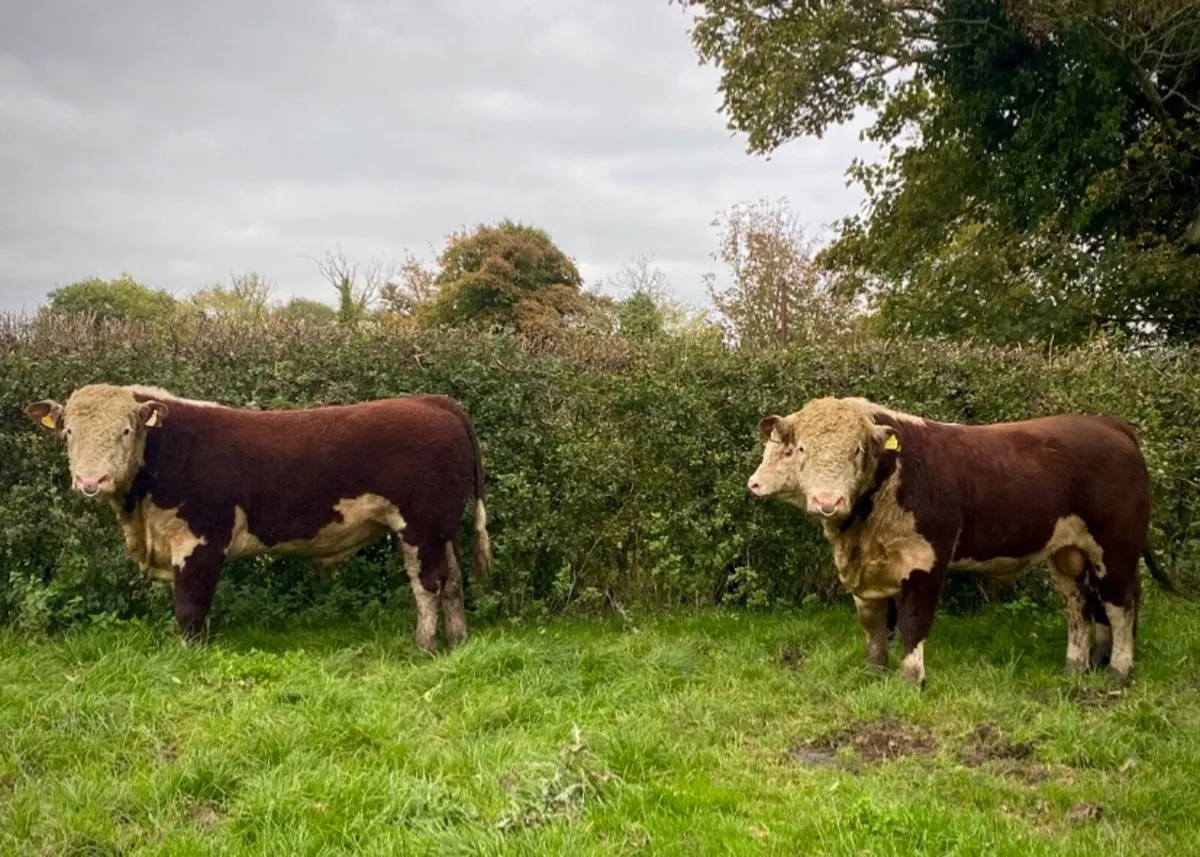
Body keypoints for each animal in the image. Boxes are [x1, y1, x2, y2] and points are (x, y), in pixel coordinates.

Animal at [25, 384, 493, 651]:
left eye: (125, 430)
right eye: (68, 432)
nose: (90, 480)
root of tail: (434, 402)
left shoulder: (201, 540)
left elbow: (190, 607)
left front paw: (190, 655)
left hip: (422, 525)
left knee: (428, 584)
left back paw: (424, 646)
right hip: (438, 529)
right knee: (452, 579)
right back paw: (459, 641)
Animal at [747, 396, 1182, 687]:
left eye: (857, 449)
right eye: (801, 448)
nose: (827, 501)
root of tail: (1108, 424)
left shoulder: (926, 561)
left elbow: (912, 621)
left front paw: (911, 679)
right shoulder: (866, 574)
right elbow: (873, 624)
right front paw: (874, 672)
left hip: (1117, 549)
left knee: (1121, 604)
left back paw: (1118, 671)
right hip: (1068, 555)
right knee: (1080, 605)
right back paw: (1076, 667)